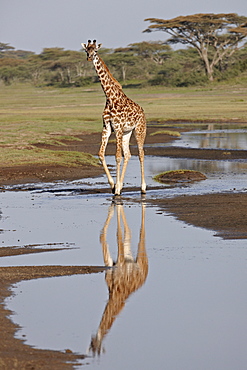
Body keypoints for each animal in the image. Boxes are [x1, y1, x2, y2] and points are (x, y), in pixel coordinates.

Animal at [81, 39, 147, 197]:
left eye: (95, 51)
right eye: (86, 50)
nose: (89, 58)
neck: (110, 98)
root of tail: (142, 111)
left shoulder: (117, 127)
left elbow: (117, 156)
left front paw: (116, 189)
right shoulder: (107, 127)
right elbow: (101, 153)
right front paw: (113, 185)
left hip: (139, 130)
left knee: (141, 154)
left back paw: (143, 187)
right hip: (127, 132)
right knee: (128, 154)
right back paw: (121, 185)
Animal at [89, 202, 148, 356]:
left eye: (97, 345)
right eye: (92, 344)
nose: (95, 336)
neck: (114, 291)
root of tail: (145, 275)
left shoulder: (119, 262)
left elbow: (117, 234)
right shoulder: (112, 265)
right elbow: (103, 235)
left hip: (141, 257)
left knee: (140, 234)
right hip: (129, 254)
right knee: (128, 233)